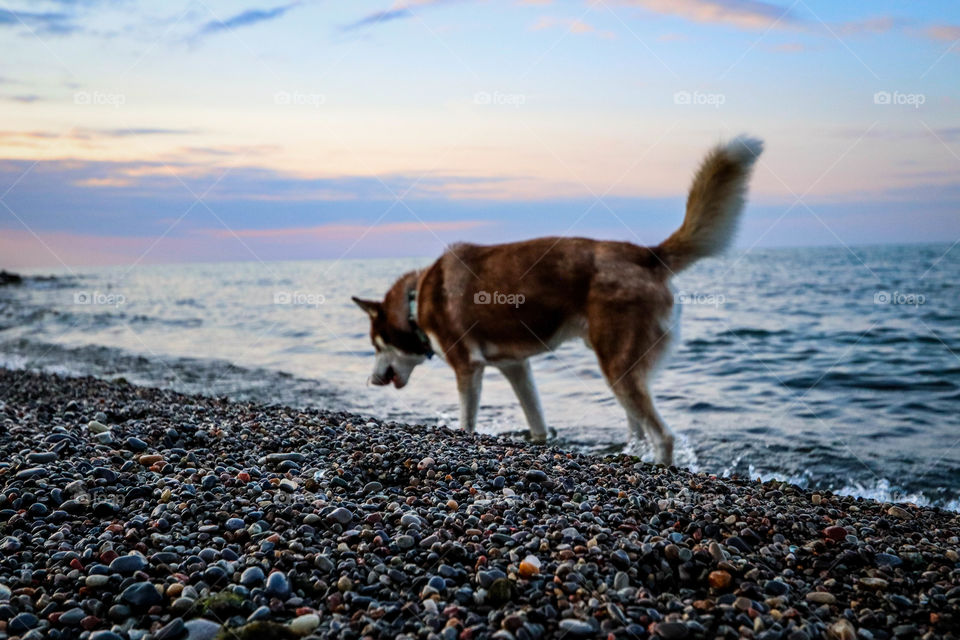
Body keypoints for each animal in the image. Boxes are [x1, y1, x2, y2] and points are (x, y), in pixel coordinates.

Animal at [352, 136, 764, 464]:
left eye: (377, 346)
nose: (371, 381)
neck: (415, 299)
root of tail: (647, 253)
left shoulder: (468, 368)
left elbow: (467, 421)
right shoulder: (516, 367)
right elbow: (537, 421)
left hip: (619, 368)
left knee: (663, 437)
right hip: (621, 370)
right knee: (639, 430)